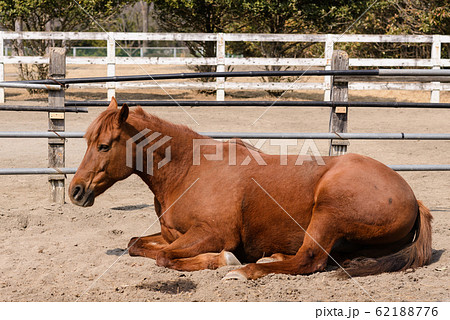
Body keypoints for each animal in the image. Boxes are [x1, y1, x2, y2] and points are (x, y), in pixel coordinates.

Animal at [69, 98, 432, 280]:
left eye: (103, 145)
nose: (76, 191)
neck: (188, 170)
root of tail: (414, 198)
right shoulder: (173, 234)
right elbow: (135, 244)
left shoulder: (212, 234)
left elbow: (165, 257)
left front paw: (225, 260)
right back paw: (272, 255)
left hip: (328, 212)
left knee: (309, 261)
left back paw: (245, 270)